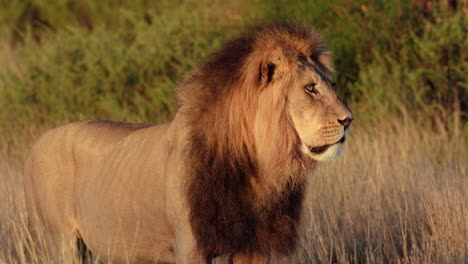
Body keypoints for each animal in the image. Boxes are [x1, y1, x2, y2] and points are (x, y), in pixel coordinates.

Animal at [22, 23, 352, 262]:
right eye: (310, 89)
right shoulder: (190, 246)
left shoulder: (252, 246)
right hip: (62, 240)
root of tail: (35, 144)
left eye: (331, 84)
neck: (258, 165)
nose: (348, 119)